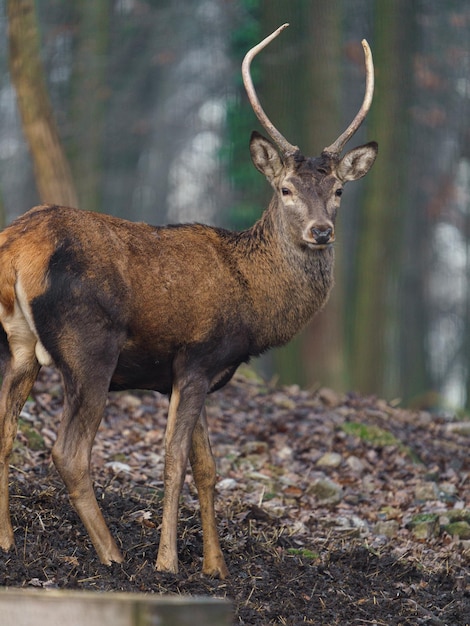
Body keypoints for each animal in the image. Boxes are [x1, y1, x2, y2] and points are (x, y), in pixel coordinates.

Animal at [0, 26, 376, 576]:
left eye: (339, 190)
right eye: (286, 188)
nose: (321, 231)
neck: (252, 302)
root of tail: (16, 251)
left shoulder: (190, 372)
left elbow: (207, 465)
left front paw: (216, 566)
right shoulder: (198, 356)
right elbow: (175, 460)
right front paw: (169, 562)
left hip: (18, 344)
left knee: (5, 430)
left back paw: (6, 541)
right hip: (88, 347)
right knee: (68, 452)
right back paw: (113, 555)